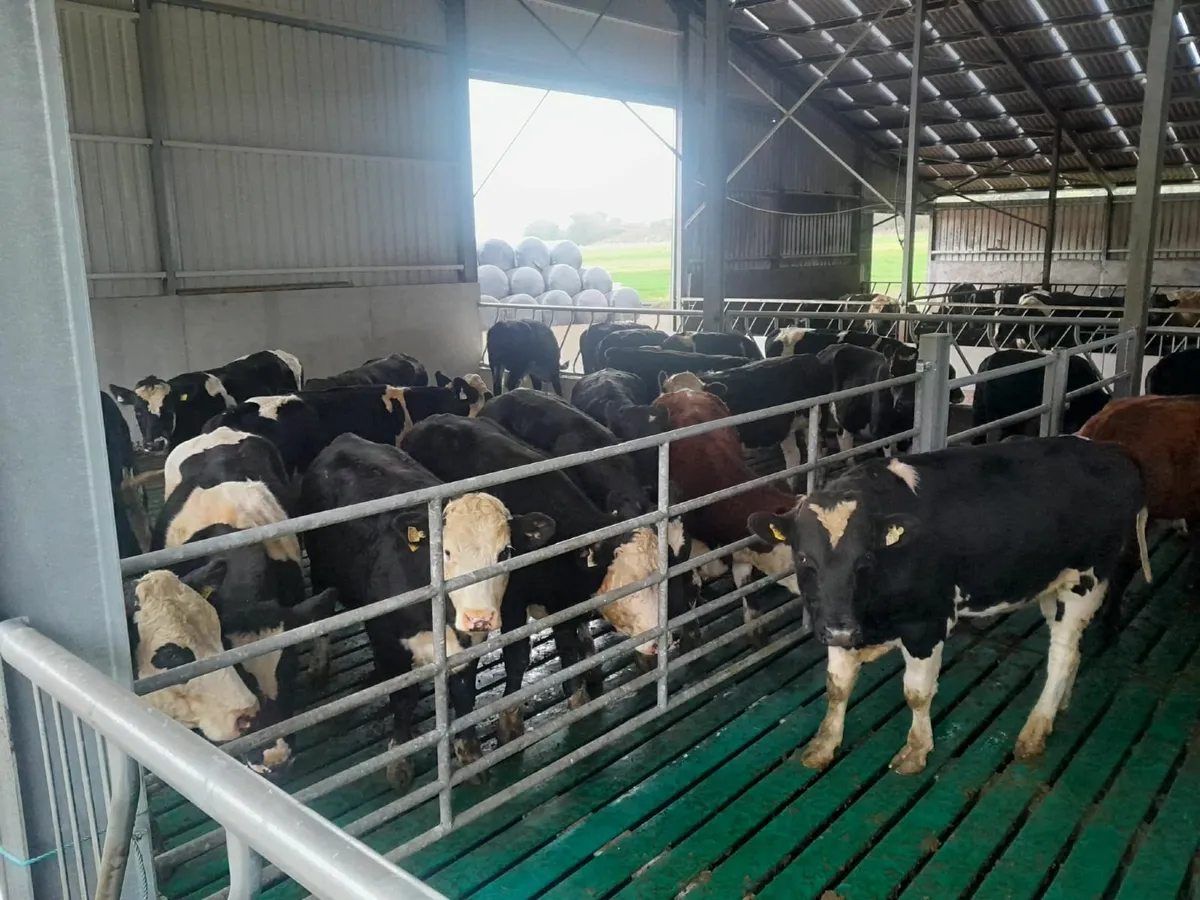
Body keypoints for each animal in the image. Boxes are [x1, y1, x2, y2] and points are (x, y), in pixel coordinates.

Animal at [300, 434, 554, 788]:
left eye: (505, 552)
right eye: (444, 552)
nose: (479, 617)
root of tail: (345, 439)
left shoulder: (467, 646)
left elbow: (464, 695)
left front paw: (469, 754)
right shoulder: (388, 640)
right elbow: (403, 698)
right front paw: (399, 758)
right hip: (321, 571)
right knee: (321, 614)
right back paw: (321, 665)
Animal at [401, 414, 693, 740]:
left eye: (673, 563)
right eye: (630, 585)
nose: (665, 639)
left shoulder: (564, 602)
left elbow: (568, 646)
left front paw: (578, 695)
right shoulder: (511, 602)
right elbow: (518, 657)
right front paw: (510, 720)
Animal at [748, 437, 1151, 775]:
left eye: (865, 559)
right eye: (804, 559)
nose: (839, 629)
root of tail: (1113, 452)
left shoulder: (925, 624)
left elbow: (916, 693)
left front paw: (915, 751)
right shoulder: (840, 622)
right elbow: (837, 686)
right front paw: (824, 745)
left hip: (1086, 581)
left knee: (1063, 655)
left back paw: (1036, 729)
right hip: (1055, 587)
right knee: (1074, 652)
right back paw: (1059, 706)